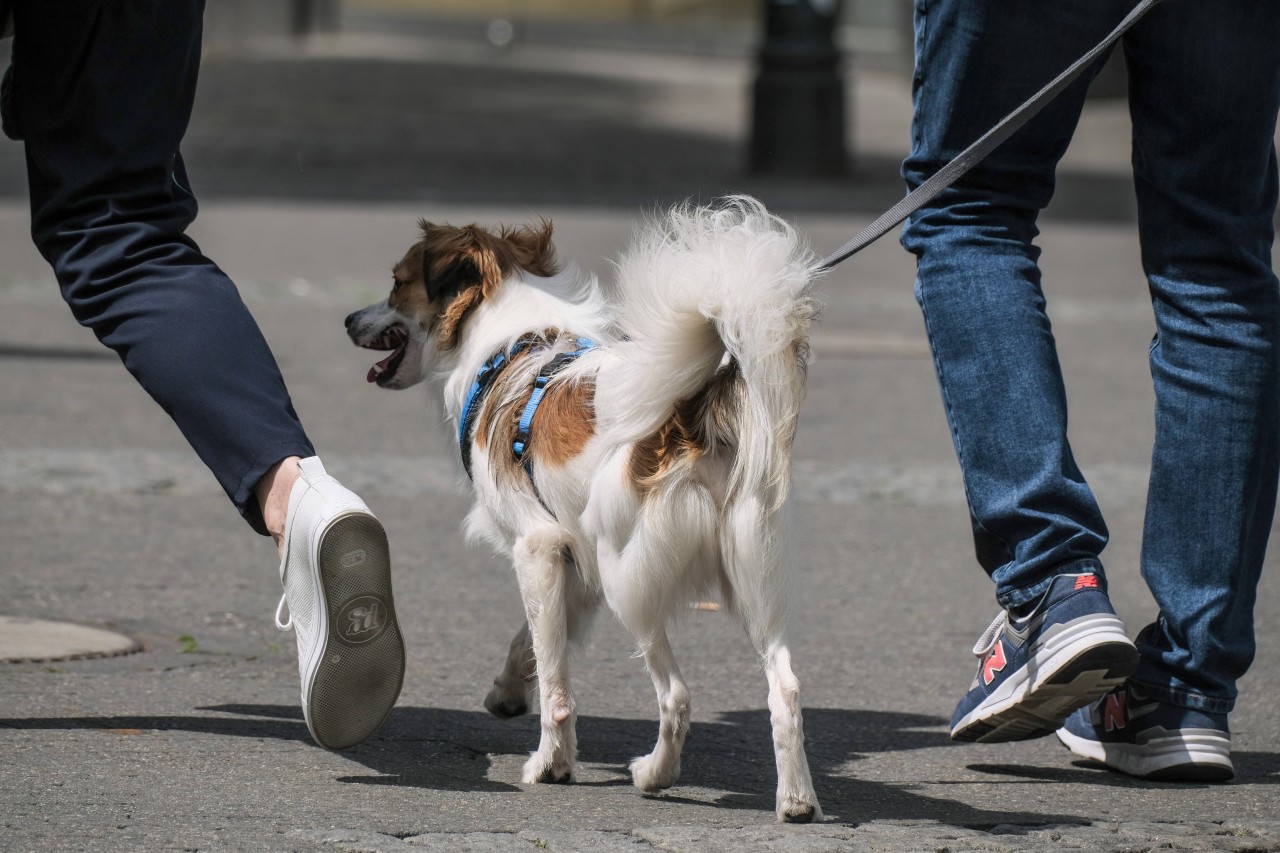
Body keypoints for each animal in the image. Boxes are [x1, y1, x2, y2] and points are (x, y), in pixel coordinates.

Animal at [343, 195, 819, 819]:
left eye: (397, 284)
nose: (349, 321)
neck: (509, 344)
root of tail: (687, 417)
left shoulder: (537, 547)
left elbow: (556, 680)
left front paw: (552, 764)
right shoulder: (573, 557)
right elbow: (532, 641)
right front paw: (508, 691)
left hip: (628, 578)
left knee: (677, 695)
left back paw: (655, 774)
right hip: (750, 579)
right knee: (785, 686)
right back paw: (796, 799)